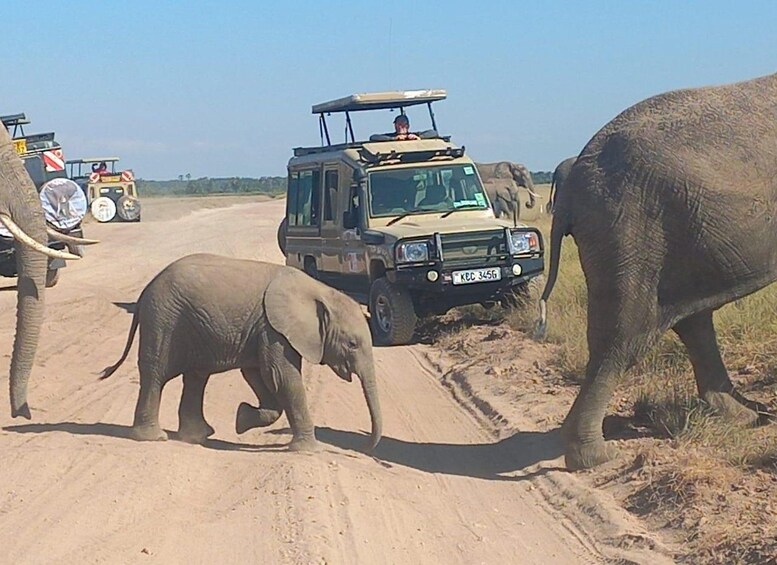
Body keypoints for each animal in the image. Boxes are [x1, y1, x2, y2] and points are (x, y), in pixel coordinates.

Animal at [101, 253, 381, 452]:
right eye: (352, 344)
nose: (363, 446)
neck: (321, 291)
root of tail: (146, 289)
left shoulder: (262, 329)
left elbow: (259, 375)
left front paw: (241, 419)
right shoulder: (274, 329)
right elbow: (281, 377)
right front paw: (310, 450)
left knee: (196, 377)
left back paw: (198, 436)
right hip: (163, 320)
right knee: (156, 375)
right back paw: (154, 438)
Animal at [538, 71, 777, 471]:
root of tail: (572, 177)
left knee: (691, 320)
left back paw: (748, 415)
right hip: (629, 232)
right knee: (623, 337)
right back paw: (594, 457)